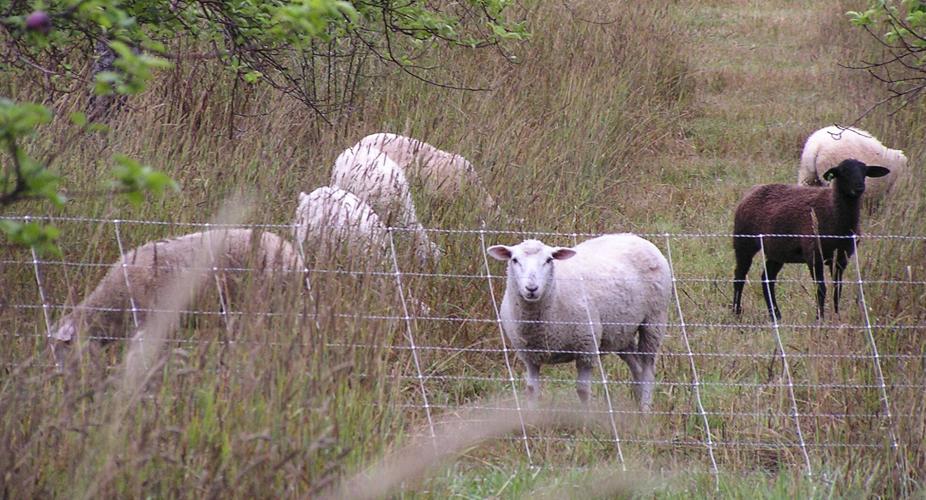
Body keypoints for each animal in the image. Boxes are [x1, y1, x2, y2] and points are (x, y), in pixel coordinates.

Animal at [488, 234, 672, 411]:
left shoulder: (586, 349)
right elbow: (531, 390)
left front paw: (586, 419)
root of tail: (635, 237)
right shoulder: (530, 356)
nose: (531, 288)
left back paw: (645, 409)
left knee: (648, 369)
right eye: (514, 260)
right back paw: (636, 409)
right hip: (620, 332)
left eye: (549, 260)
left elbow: (582, 390)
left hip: (654, 320)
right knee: (637, 368)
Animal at [733, 159, 890, 321]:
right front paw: (820, 319)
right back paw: (736, 313)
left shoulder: (841, 258)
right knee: (740, 276)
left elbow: (837, 288)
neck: (834, 212)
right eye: (843, 172)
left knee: (767, 279)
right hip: (743, 242)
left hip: (777, 251)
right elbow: (820, 289)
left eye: (865, 172)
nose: (859, 187)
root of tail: (752, 190)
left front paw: (836, 316)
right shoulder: (814, 255)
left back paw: (776, 315)